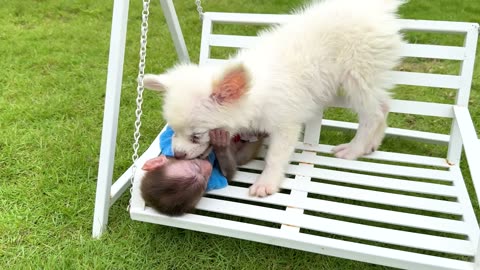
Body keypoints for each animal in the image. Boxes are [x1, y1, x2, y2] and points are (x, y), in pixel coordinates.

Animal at [143, 0, 404, 198]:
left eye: (197, 135)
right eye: (173, 130)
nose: (177, 155)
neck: (253, 94)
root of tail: (374, 7)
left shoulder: (286, 124)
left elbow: (275, 157)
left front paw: (266, 182)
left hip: (356, 75)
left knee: (372, 113)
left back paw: (354, 148)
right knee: (383, 105)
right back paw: (371, 144)